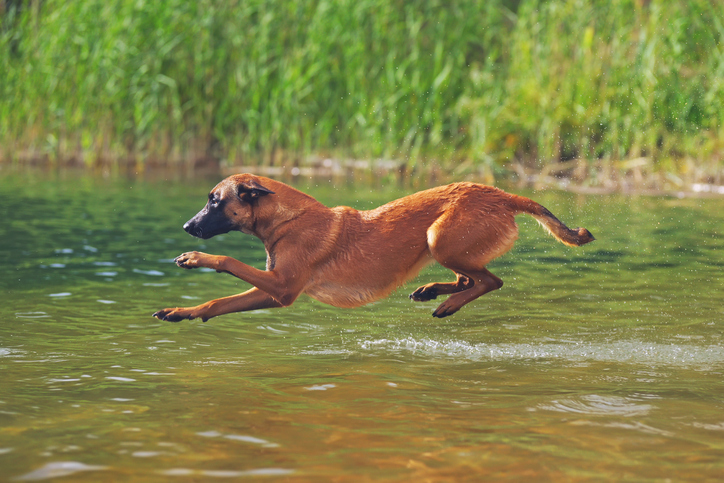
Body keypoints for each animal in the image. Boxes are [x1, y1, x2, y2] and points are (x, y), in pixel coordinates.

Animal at [153, 174, 592, 322]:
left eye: (215, 201)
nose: (187, 227)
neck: (287, 219)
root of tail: (504, 195)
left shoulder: (283, 286)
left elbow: (227, 259)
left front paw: (194, 259)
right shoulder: (275, 291)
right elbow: (218, 303)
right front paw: (181, 312)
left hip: (439, 239)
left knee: (489, 281)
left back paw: (446, 304)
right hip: (443, 245)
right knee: (472, 278)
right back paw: (431, 291)